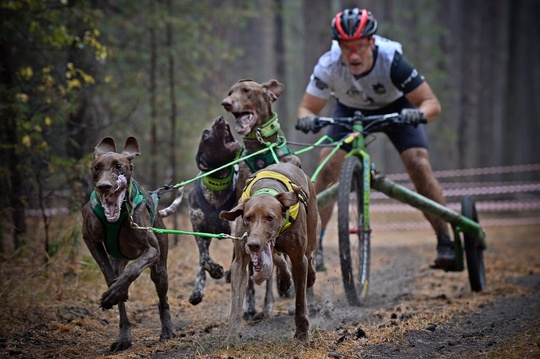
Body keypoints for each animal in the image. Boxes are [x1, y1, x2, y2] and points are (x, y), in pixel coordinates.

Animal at [159, 116, 242, 306]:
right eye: (205, 134)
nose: (220, 118)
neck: (217, 188)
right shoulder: (198, 229)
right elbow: (204, 259)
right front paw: (216, 270)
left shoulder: (235, 228)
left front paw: (227, 273)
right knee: (201, 261)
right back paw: (197, 290)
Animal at [220, 162, 320, 344]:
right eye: (248, 218)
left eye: (270, 217)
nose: (252, 245)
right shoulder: (239, 262)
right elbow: (236, 303)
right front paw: (232, 336)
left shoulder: (298, 259)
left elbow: (300, 302)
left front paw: (302, 334)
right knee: (278, 257)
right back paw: (284, 279)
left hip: (311, 231)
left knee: (309, 256)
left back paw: (310, 275)